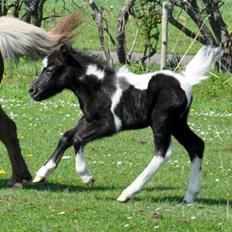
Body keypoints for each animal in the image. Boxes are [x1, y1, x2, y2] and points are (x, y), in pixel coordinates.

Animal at [29, 44, 223, 203]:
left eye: (50, 69)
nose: (32, 91)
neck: (97, 87)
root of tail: (186, 81)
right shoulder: (88, 119)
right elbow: (67, 137)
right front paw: (41, 174)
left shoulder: (110, 124)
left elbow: (78, 139)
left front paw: (87, 177)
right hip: (178, 124)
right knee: (196, 145)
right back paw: (190, 196)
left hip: (162, 121)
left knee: (163, 152)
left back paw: (127, 193)